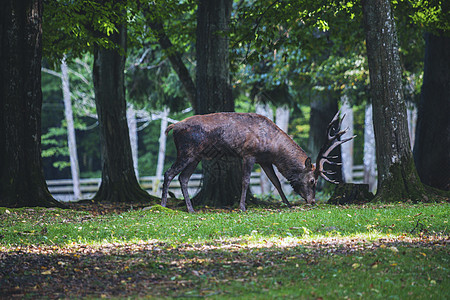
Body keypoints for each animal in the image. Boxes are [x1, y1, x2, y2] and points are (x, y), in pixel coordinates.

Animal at [160, 111, 354, 212]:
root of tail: (173, 127)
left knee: (183, 178)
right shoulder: (248, 154)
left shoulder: (265, 161)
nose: (312, 201)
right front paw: (242, 206)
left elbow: (276, 182)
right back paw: (163, 205)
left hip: (196, 156)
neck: (273, 148)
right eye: (313, 180)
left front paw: (287, 203)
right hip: (186, 151)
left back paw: (191, 208)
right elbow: (245, 181)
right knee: (168, 173)